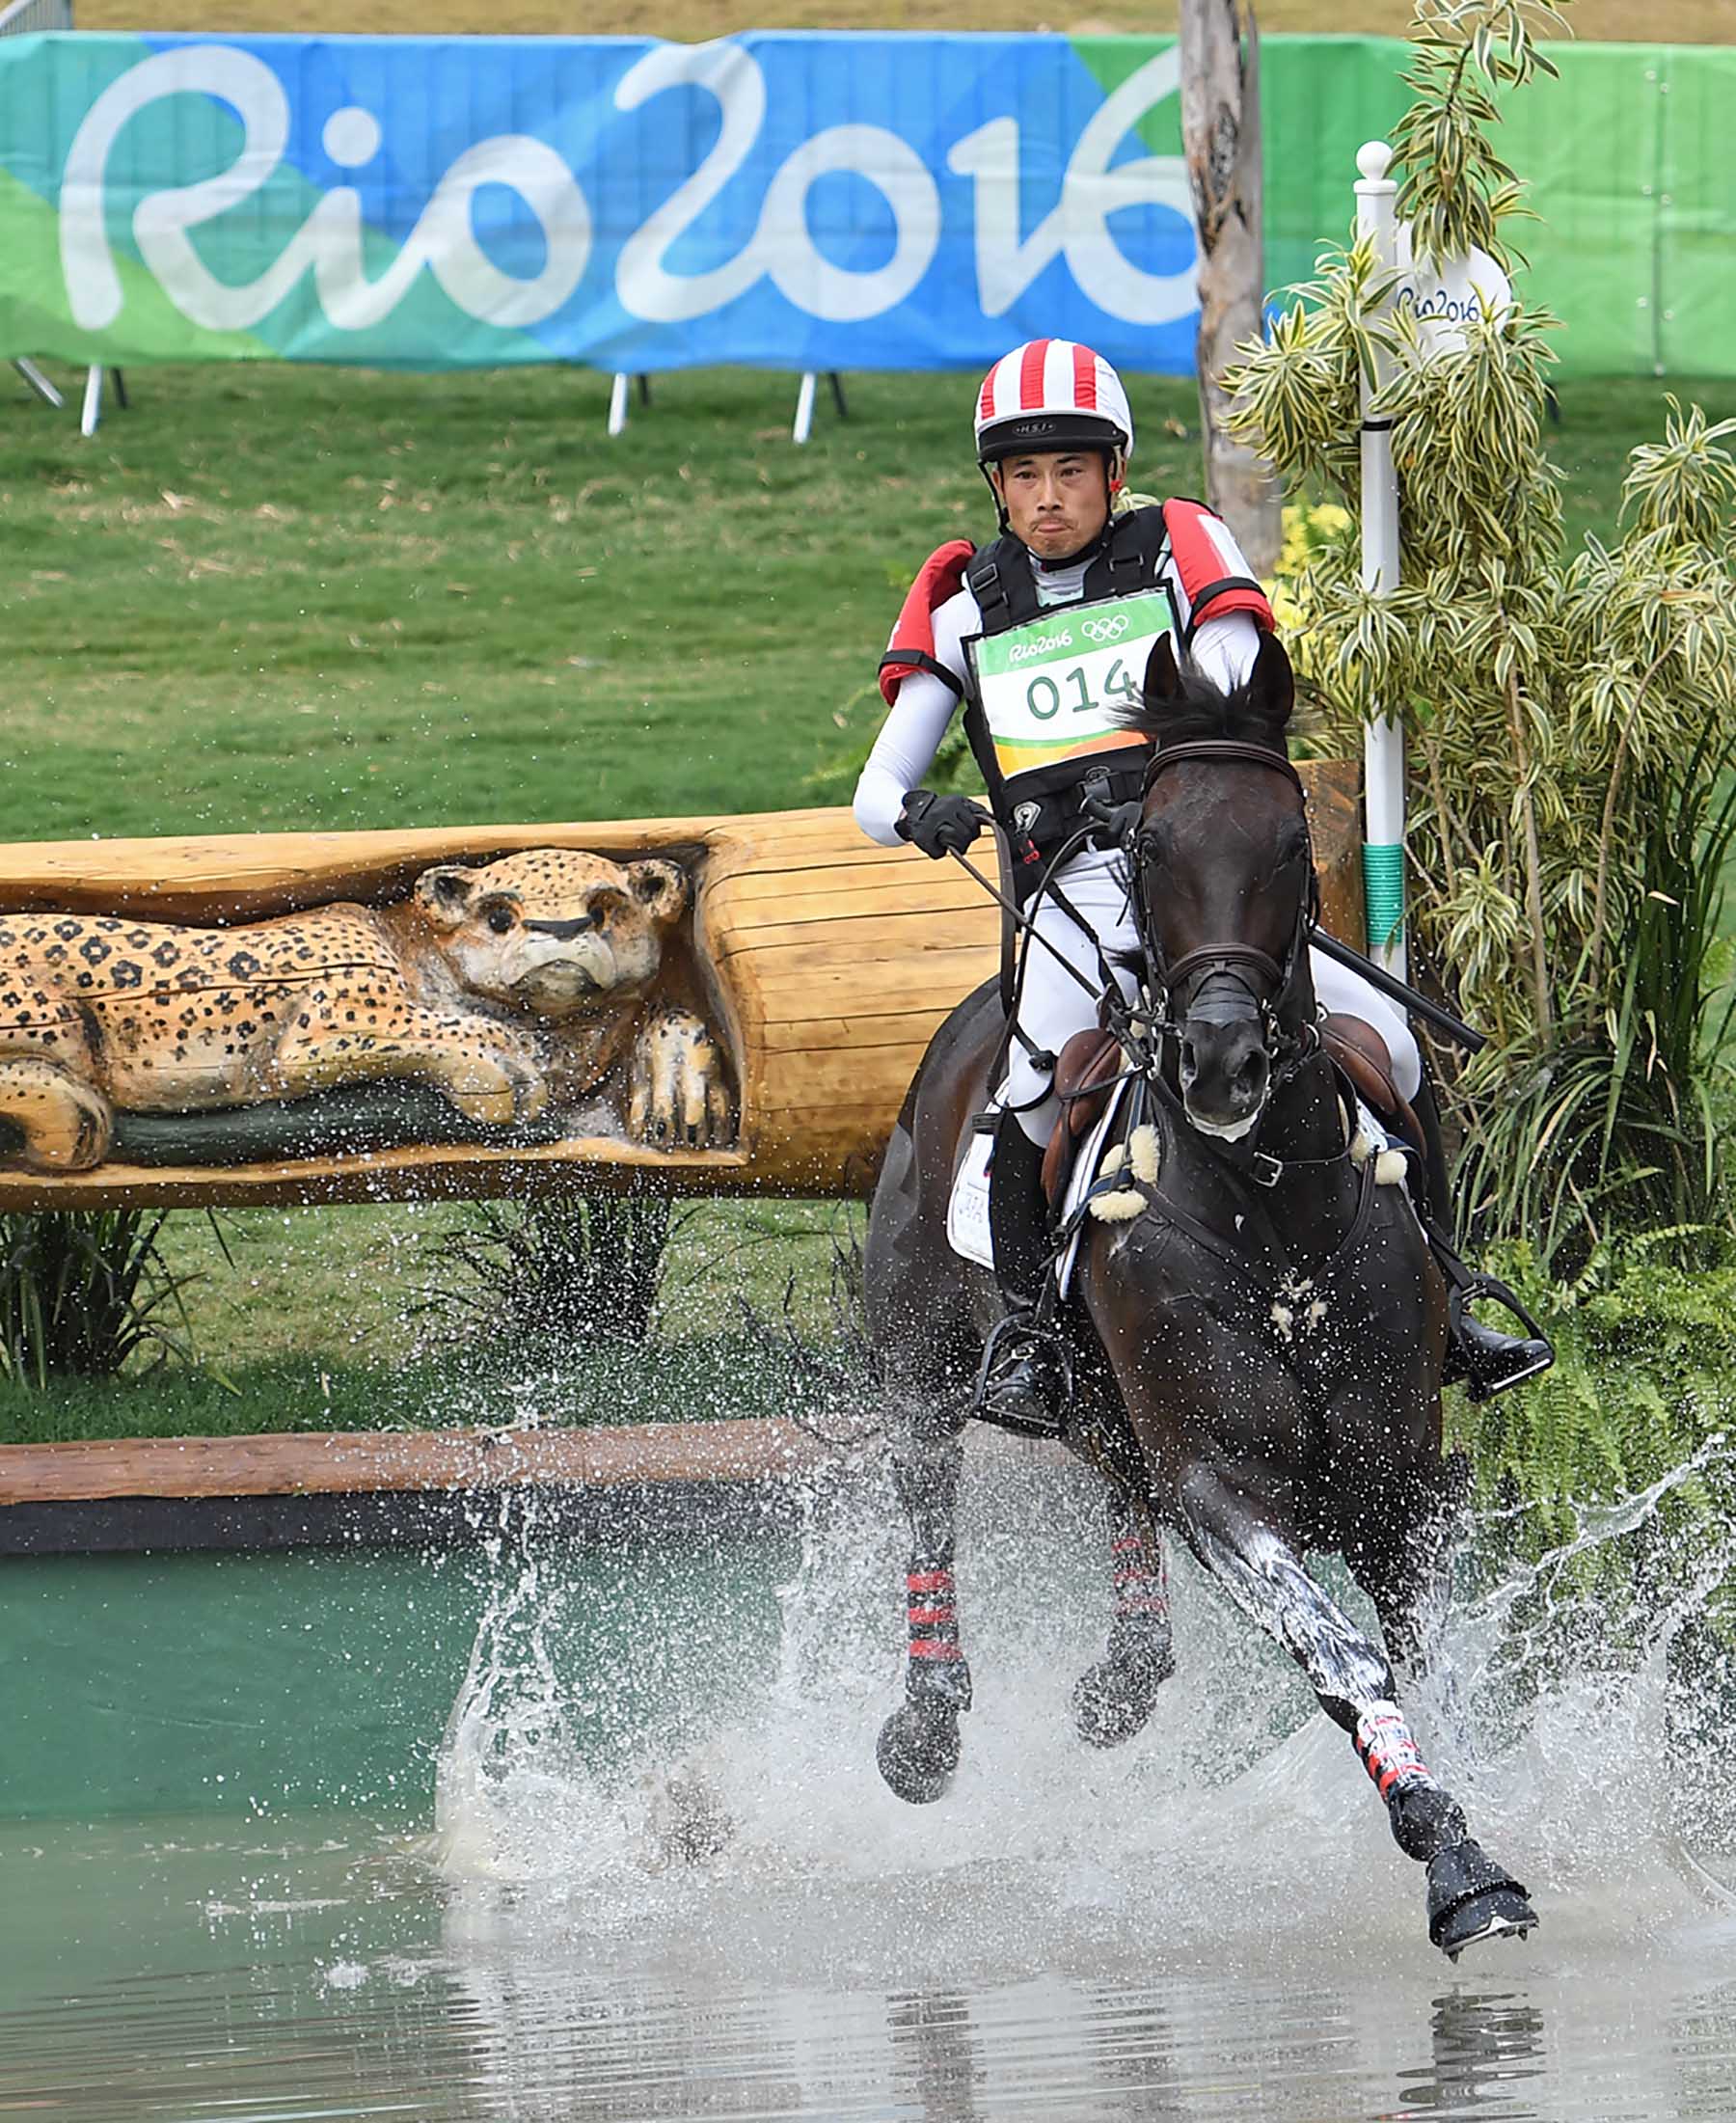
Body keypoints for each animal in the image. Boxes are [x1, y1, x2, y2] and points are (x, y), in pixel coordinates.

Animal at [861, 628, 1528, 1952]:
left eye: (1288, 840)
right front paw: (1457, 1864)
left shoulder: (1401, 1476)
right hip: (919, 1347)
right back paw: (927, 1725)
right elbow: (1343, 1656)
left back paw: (1123, 1676)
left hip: (1108, 1406)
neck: (1272, 1215)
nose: (1224, 1058)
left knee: (1116, 1481)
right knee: (928, 1486)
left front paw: (1464, 1826)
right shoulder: (1222, 1481)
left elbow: (1419, 1650)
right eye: (1156, 845)